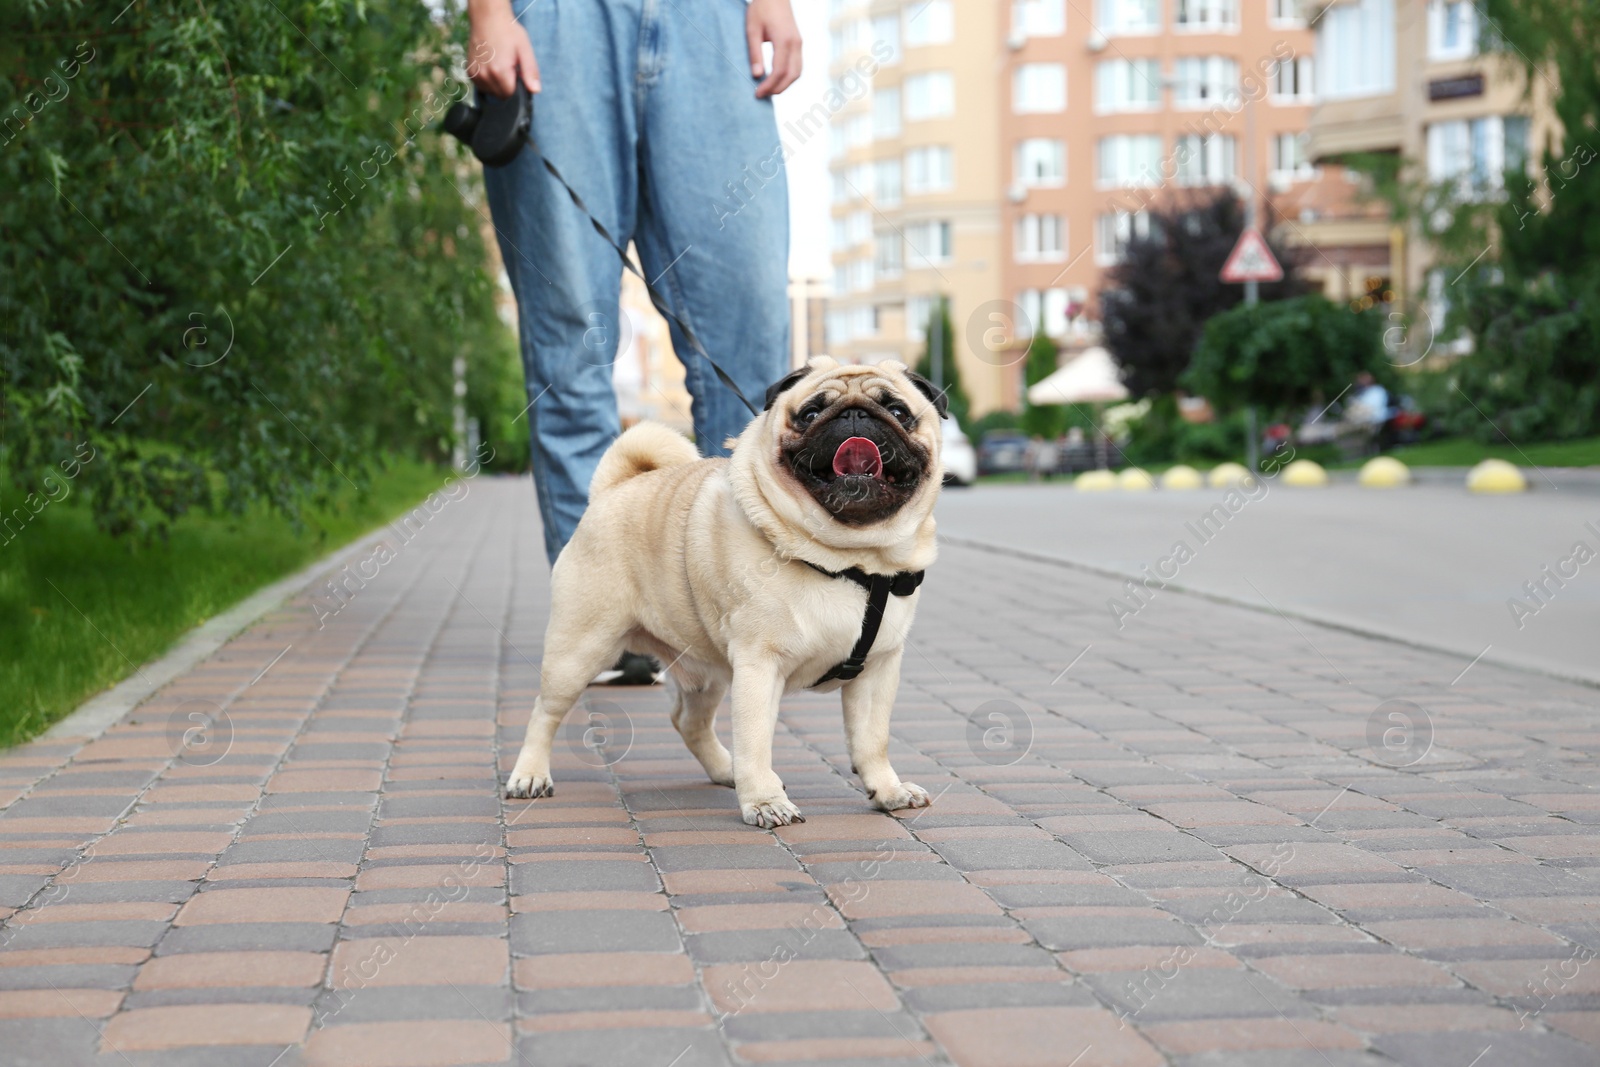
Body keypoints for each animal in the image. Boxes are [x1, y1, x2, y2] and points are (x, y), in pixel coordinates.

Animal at [505, 356, 940, 825]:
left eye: (897, 411)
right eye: (809, 414)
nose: (855, 415)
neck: (851, 559)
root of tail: (613, 489)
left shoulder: (878, 669)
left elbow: (872, 740)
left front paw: (888, 790)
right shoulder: (759, 664)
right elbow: (756, 741)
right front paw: (764, 801)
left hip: (702, 670)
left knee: (688, 722)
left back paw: (725, 769)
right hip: (579, 650)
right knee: (545, 712)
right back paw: (530, 775)